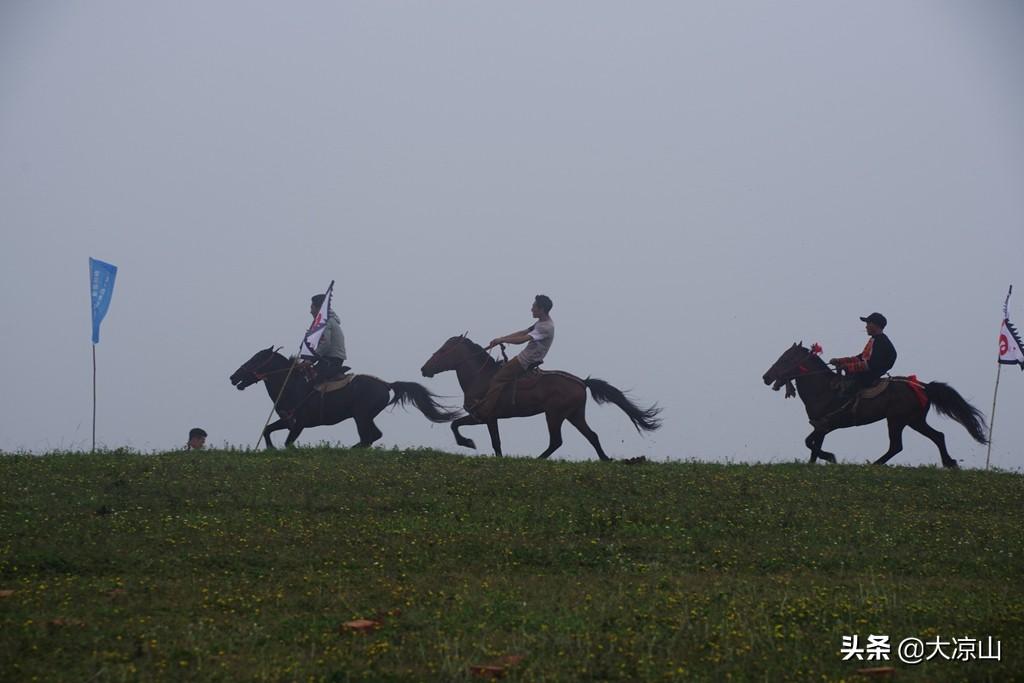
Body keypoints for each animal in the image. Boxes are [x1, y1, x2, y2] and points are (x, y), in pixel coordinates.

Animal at [232, 350, 460, 450]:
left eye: (255, 359)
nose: (233, 377)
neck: (290, 385)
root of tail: (387, 384)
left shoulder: (297, 423)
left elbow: (286, 441)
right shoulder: (289, 422)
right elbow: (267, 429)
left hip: (361, 417)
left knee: (369, 437)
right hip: (365, 417)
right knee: (373, 436)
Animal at [419, 335, 659, 458]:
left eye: (443, 351)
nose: (424, 369)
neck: (481, 378)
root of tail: (582, 381)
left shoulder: (484, 416)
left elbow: (459, 427)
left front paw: (467, 442)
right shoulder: (490, 419)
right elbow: (494, 442)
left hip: (554, 415)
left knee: (556, 441)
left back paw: (538, 459)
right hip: (574, 415)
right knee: (592, 436)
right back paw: (605, 459)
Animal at [765, 344, 987, 466]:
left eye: (785, 359)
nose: (766, 378)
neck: (823, 389)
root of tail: (922, 386)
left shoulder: (825, 426)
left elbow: (809, 443)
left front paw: (831, 457)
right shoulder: (821, 427)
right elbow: (812, 448)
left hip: (896, 421)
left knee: (896, 446)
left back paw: (873, 464)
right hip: (914, 420)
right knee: (937, 436)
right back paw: (950, 462)